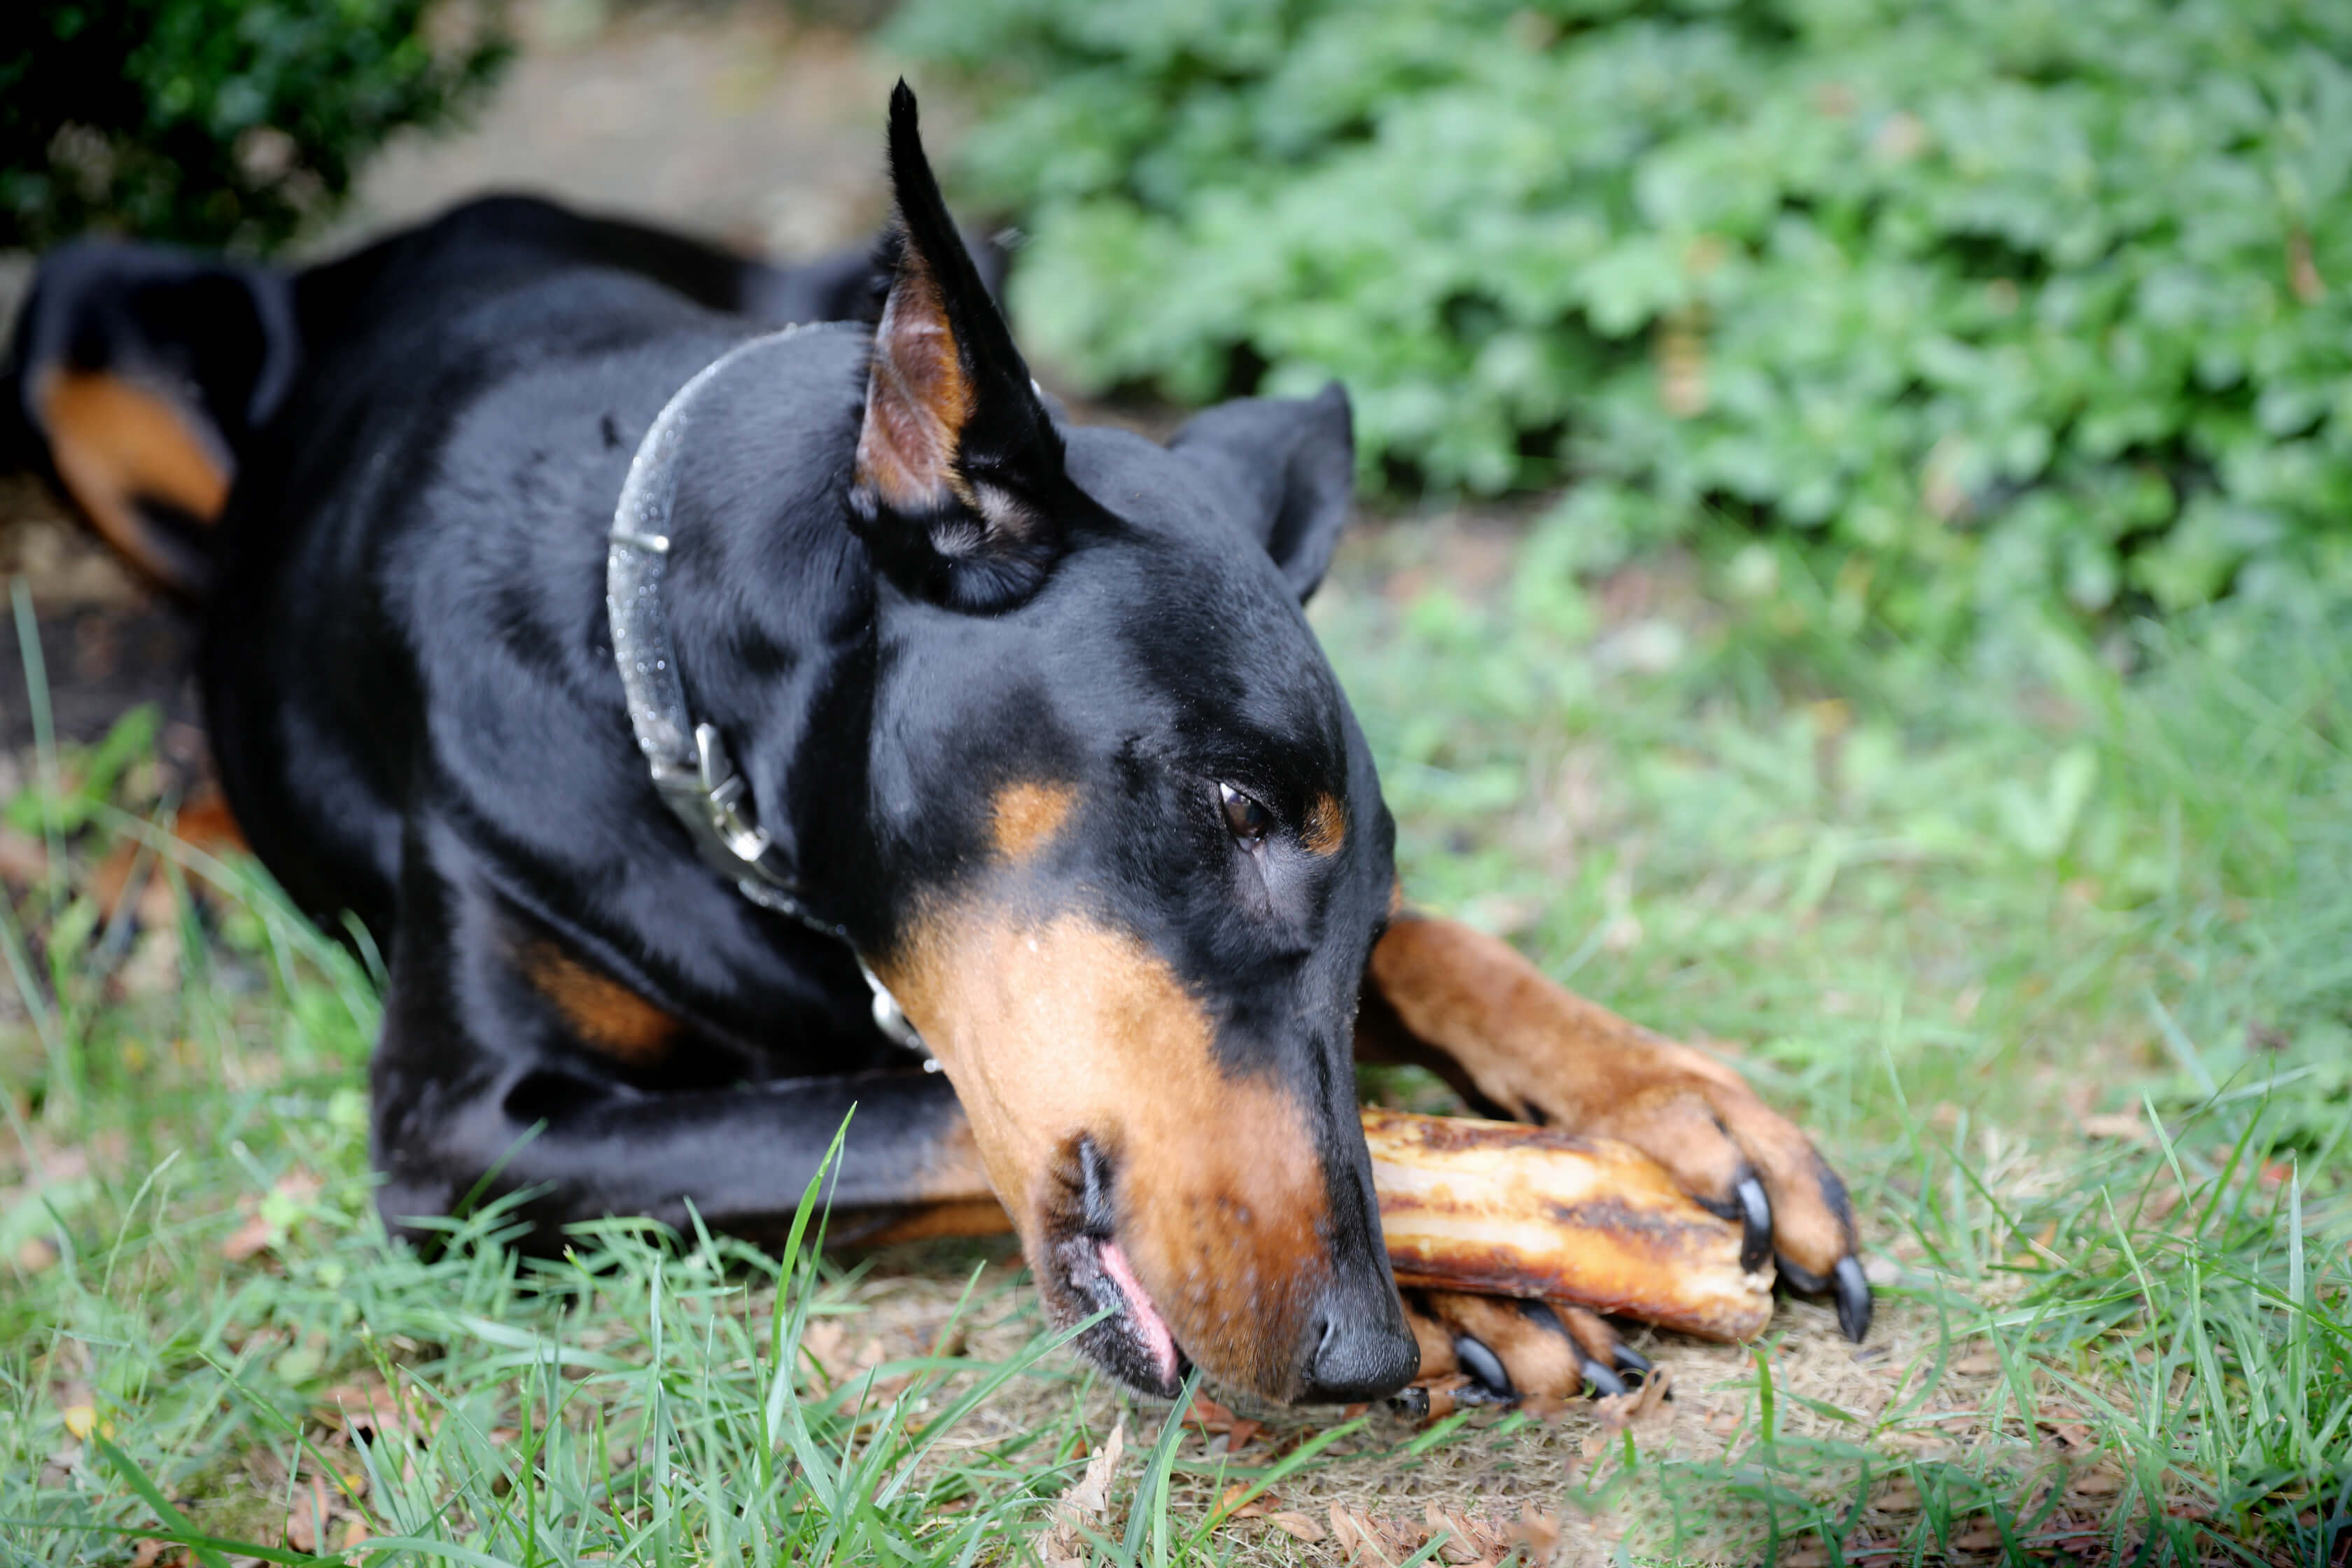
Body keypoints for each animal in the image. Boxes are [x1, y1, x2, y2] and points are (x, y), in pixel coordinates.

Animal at [9, 85, 1863, 1410]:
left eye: (1359, 884)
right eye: (1231, 800)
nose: (1360, 1354)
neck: (663, 683)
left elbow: (1444, 957)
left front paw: (1681, 1107)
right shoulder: (468, 1138)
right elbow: (902, 1110)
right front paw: (1584, 1225)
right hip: (84, 325)